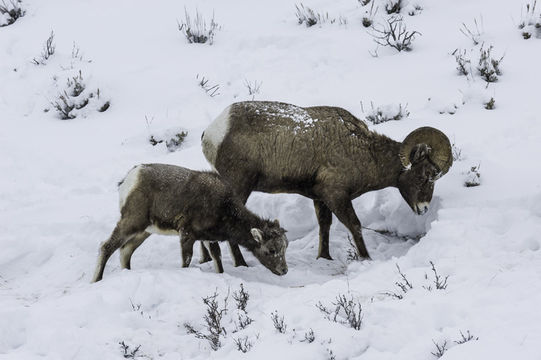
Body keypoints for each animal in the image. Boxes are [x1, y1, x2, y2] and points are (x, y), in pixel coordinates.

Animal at [90, 162, 288, 282]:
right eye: (271, 250)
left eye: (285, 247)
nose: (284, 270)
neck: (225, 211)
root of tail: (127, 180)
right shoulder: (186, 233)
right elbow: (187, 260)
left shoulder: (209, 238)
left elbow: (218, 261)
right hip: (132, 221)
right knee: (106, 246)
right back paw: (95, 280)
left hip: (145, 230)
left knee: (125, 251)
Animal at [201, 100, 452, 262]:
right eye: (426, 174)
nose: (423, 208)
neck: (363, 151)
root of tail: (212, 133)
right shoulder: (336, 195)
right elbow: (354, 225)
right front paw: (366, 258)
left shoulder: (321, 198)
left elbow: (325, 226)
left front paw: (324, 257)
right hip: (239, 186)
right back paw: (240, 263)